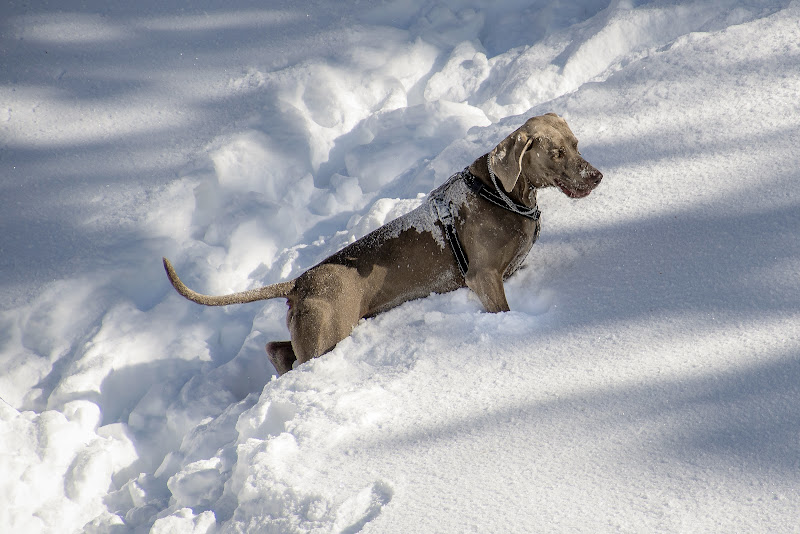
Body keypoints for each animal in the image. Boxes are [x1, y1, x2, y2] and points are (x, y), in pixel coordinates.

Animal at [162, 112, 600, 376]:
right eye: (556, 152)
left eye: (576, 143)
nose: (595, 176)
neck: (502, 192)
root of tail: (298, 283)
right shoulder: (483, 278)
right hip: (326, 336)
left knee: (276, 348)